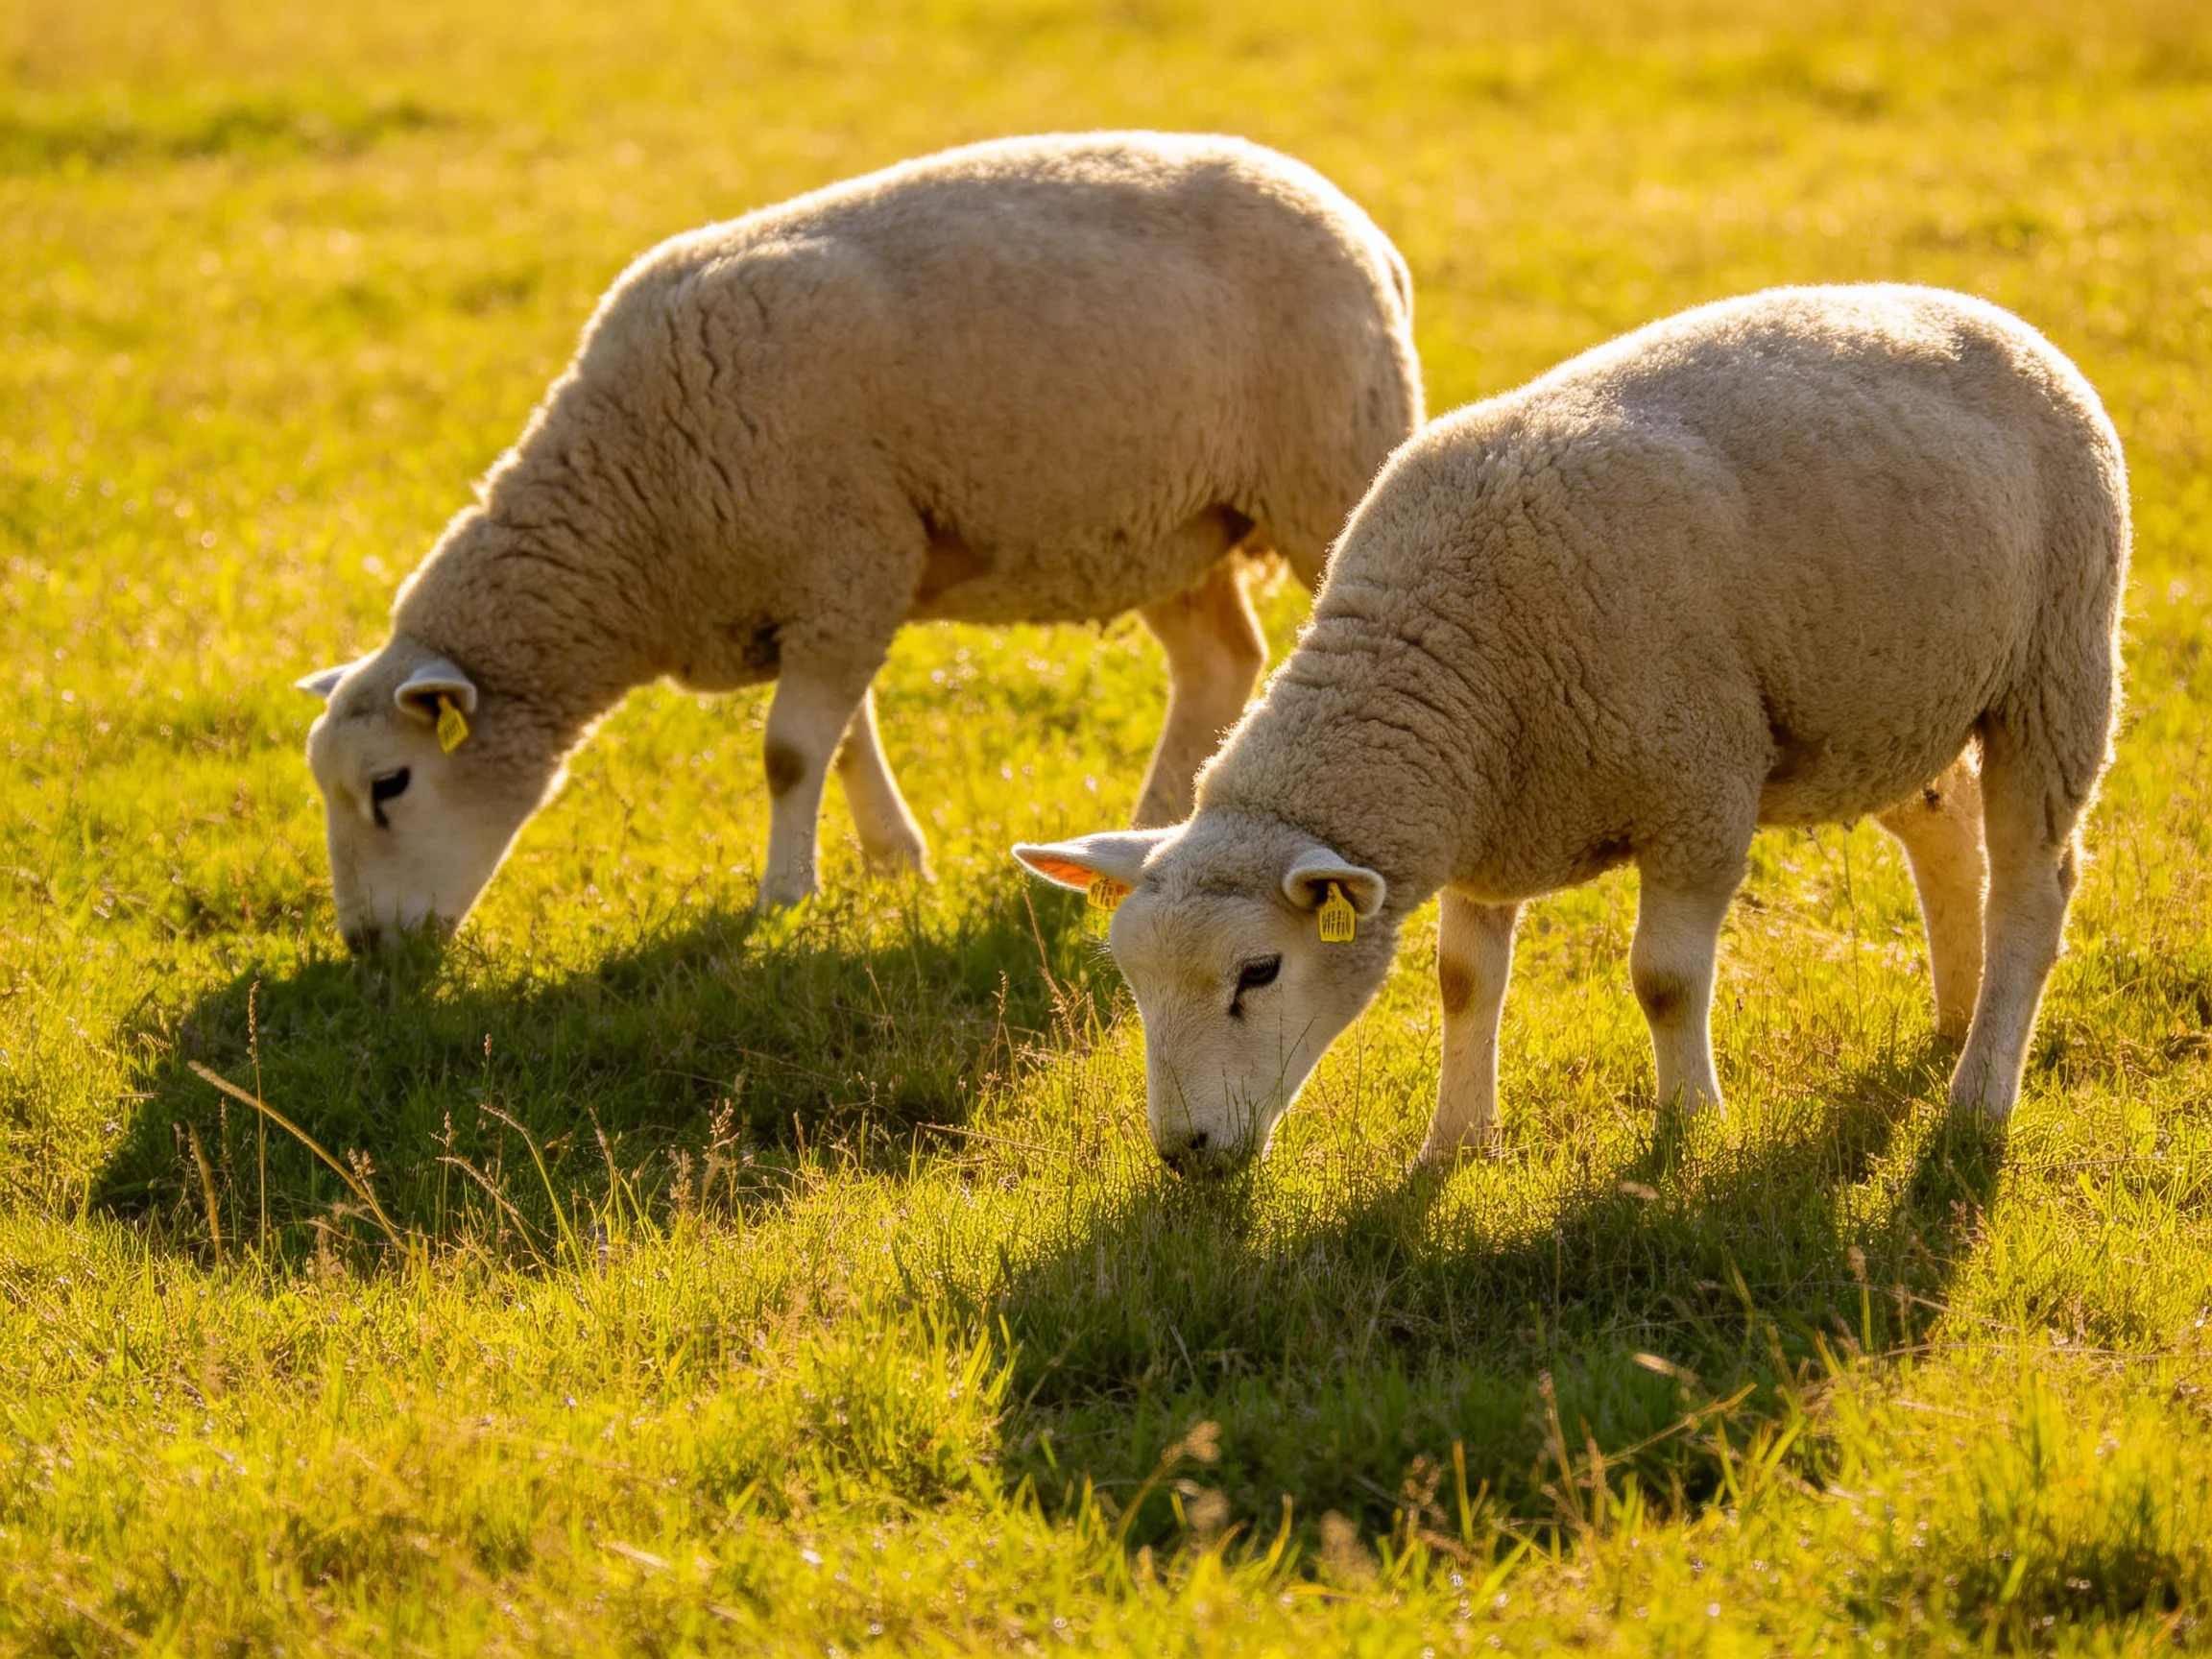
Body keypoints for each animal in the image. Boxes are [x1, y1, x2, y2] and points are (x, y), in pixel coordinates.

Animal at [294, 131, 1422, 948]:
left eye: (390, 785)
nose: (368, 950)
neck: (633, 507)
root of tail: (1363, 230)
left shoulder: (846, 559)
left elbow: (790, 752)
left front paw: (781, 899)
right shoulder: (827, 585)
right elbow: (840, 741)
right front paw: (891, 863)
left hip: (1326, 468)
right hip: (1168, 523)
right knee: (1217, 663)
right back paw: (1140, 840)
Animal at [1016, 284, 2127, 1172]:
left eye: (1259, 972)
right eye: (1132, 981)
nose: (1185, 1153)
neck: (1444, 655)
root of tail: (1979, 310)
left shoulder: (1697, 790)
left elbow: (1666, 983)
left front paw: (1690, 1130)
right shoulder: (1491, 818)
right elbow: (1464, 983)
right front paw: (1455, 1146)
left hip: (2057, 665)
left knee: (2033, 891)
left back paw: (1978, 1097)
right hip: (1889, 702)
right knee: (1944, 829)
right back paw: (1957, 1018)